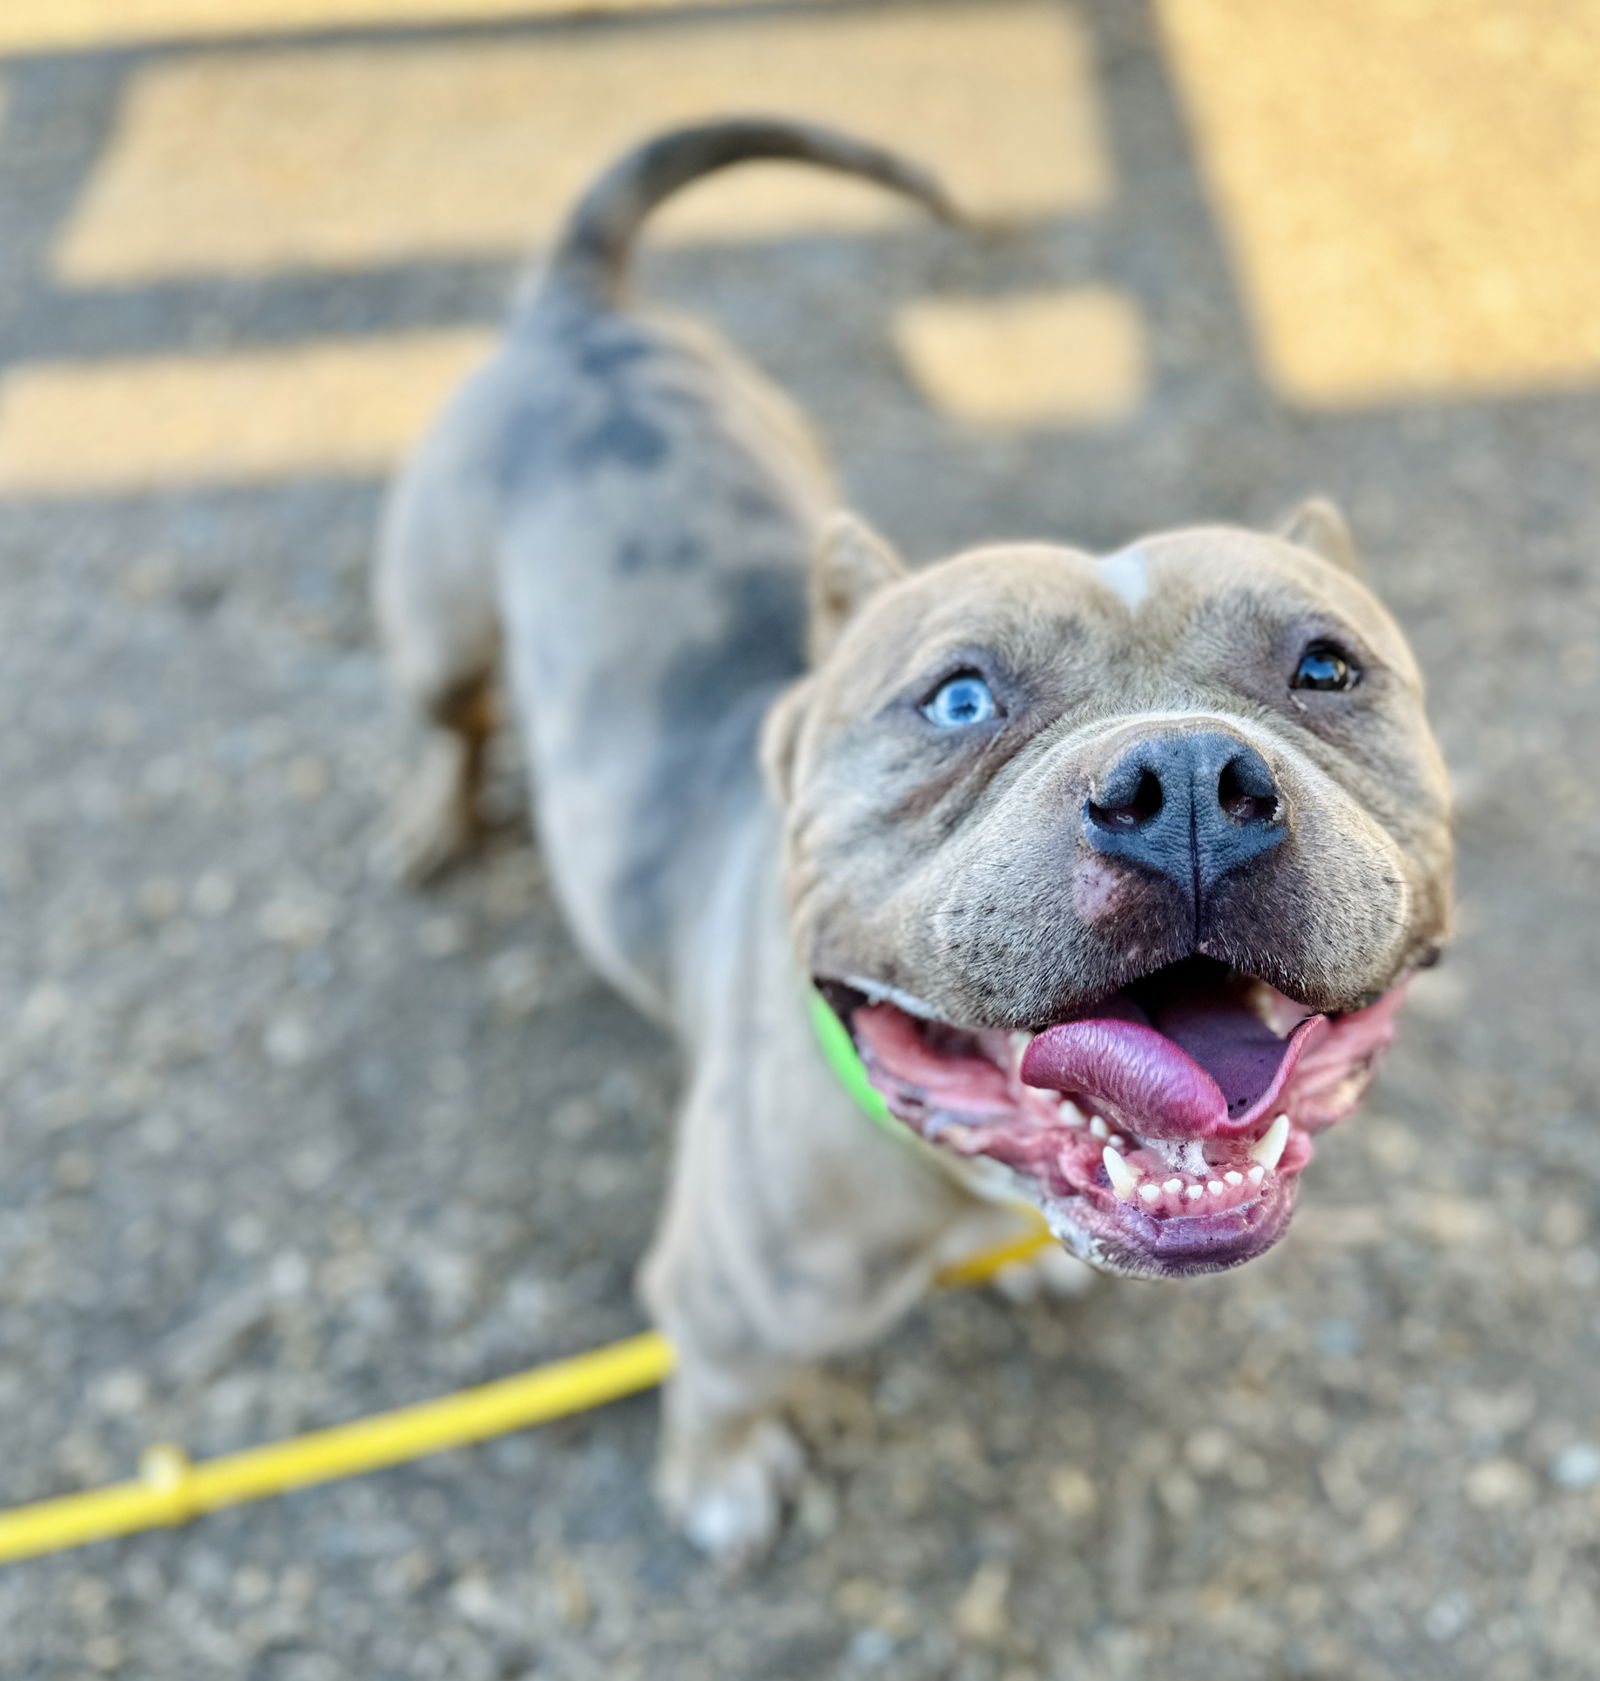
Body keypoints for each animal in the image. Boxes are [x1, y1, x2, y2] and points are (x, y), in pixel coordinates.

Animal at [374, 118, 1452, 1559]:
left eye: (1328, 668)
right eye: (956, 698)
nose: (1185, 779)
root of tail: (579, 310)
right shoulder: (720, 1301)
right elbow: (718, 1391)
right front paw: (720, 1476)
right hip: (439, 626)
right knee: (455, 714)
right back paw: (435, 814)